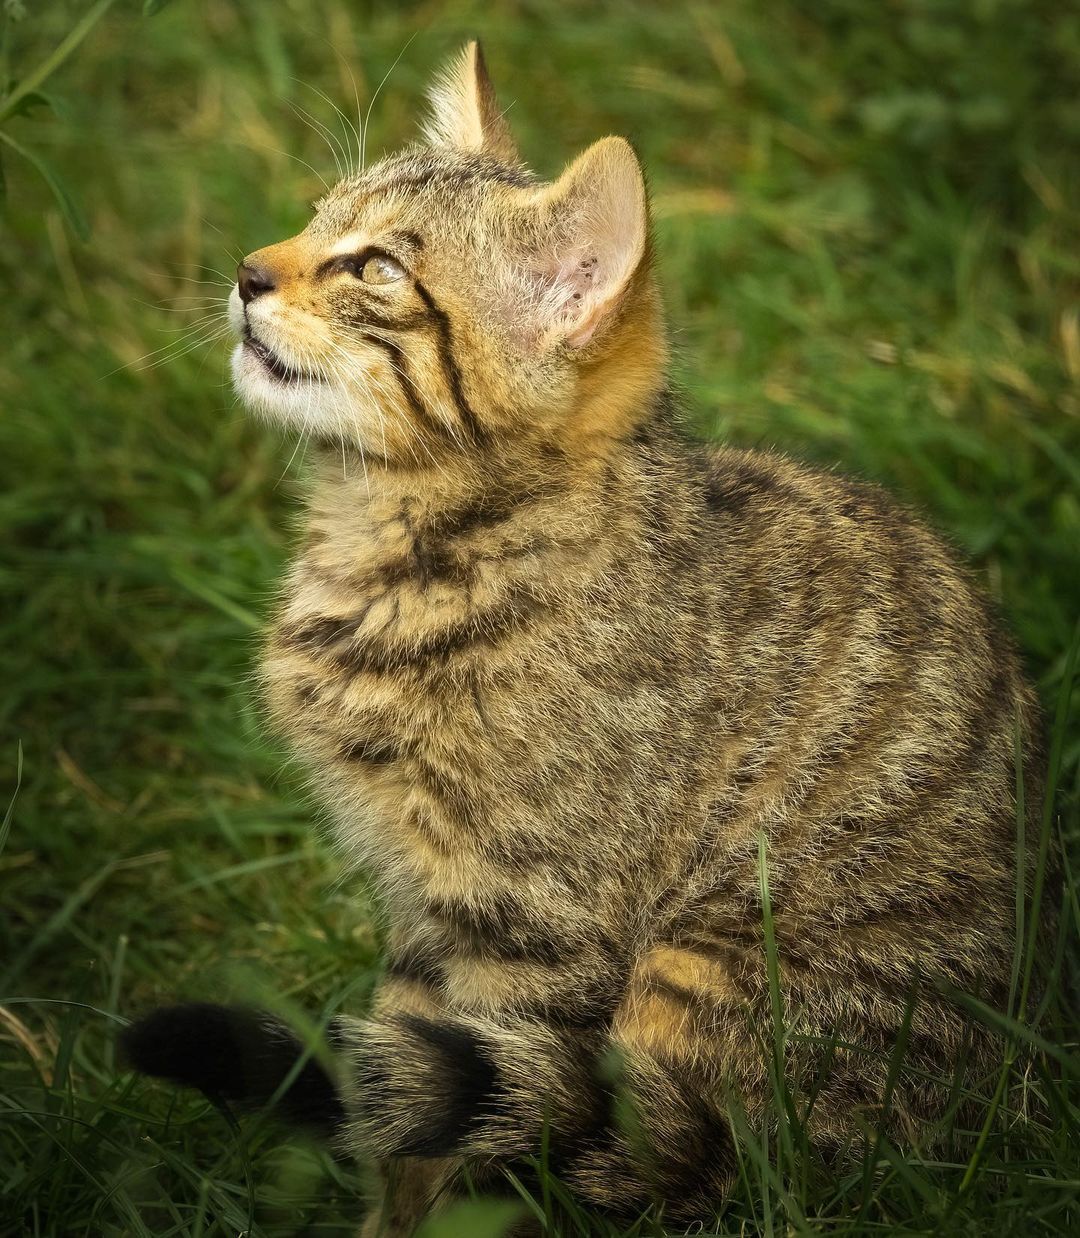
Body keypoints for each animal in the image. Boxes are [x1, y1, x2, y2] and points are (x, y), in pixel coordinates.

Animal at [124, 41, 1045, 1238]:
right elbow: (401, 1114)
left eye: (374, 268)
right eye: (316, 215)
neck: (407, 551)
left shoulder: (531, 930)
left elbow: (460, 1150)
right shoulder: (422, 916)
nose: (246, 270)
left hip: (700, 984)